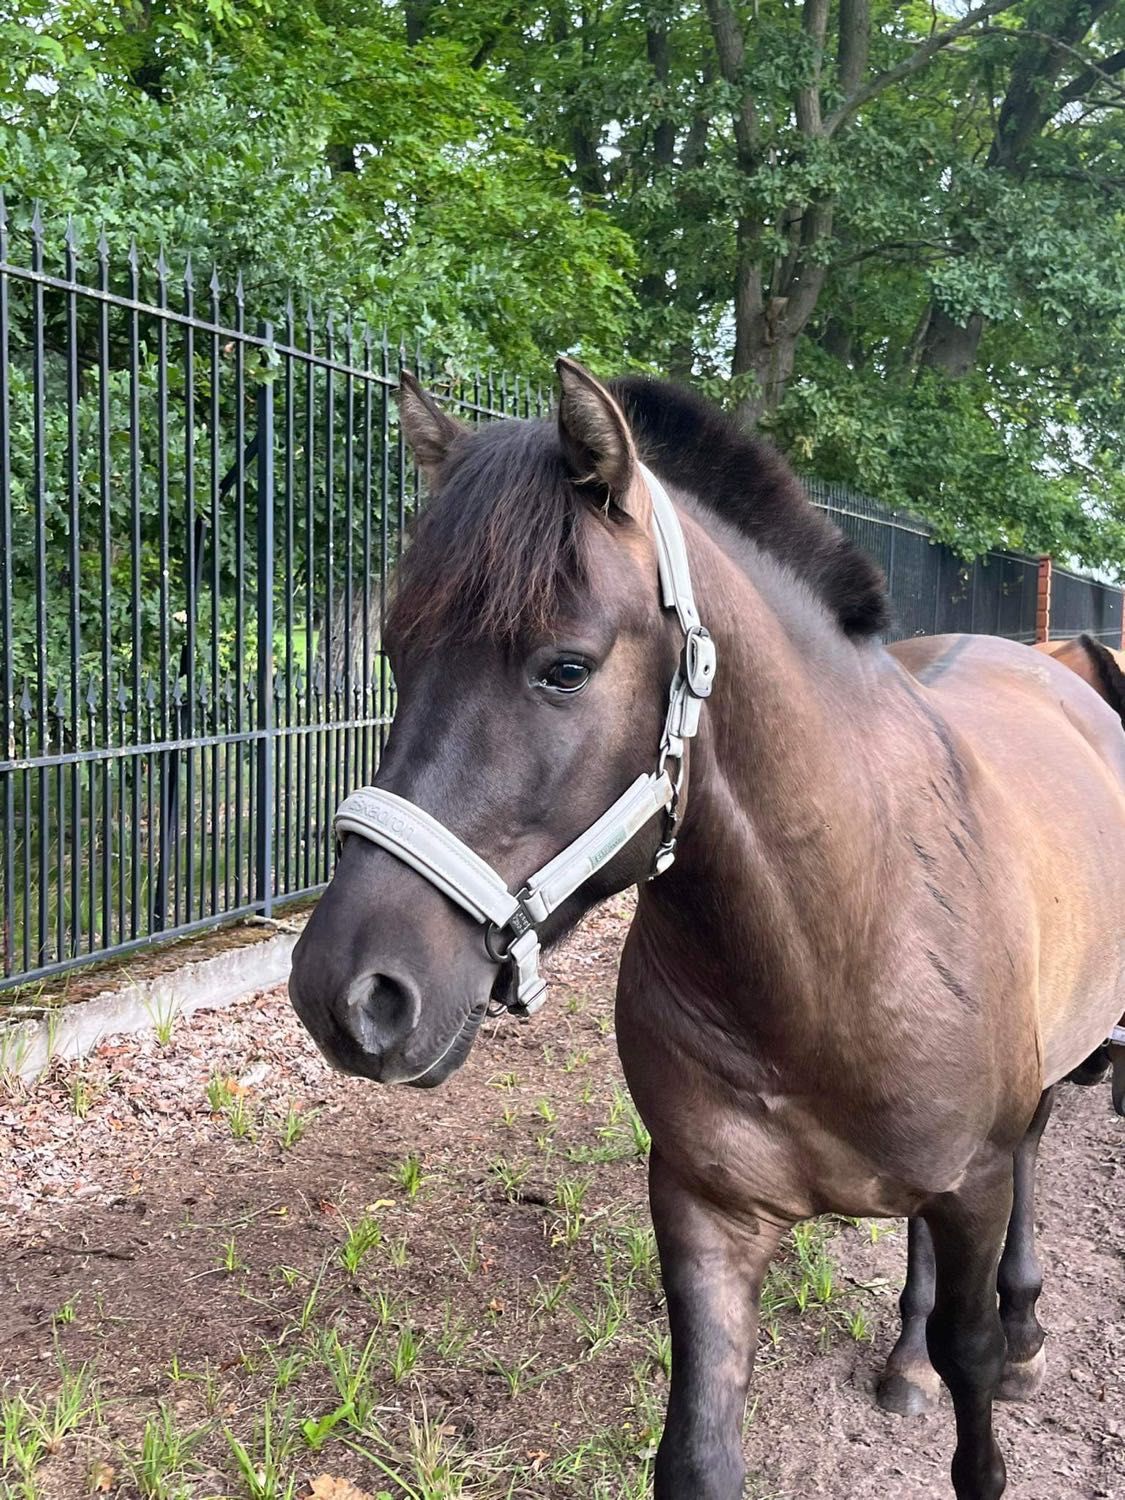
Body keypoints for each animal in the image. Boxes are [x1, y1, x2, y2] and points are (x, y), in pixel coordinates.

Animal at [283, 363, 1125, 1500]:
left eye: (565, 668)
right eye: (394, 652)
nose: (347, 991)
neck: (836, 949)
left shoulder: (976, 1183)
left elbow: (976, 1372)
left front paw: (1002, 1349)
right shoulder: (705, 1211)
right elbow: (697, 1455)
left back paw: (1025, 1330)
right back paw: (903, 1360)